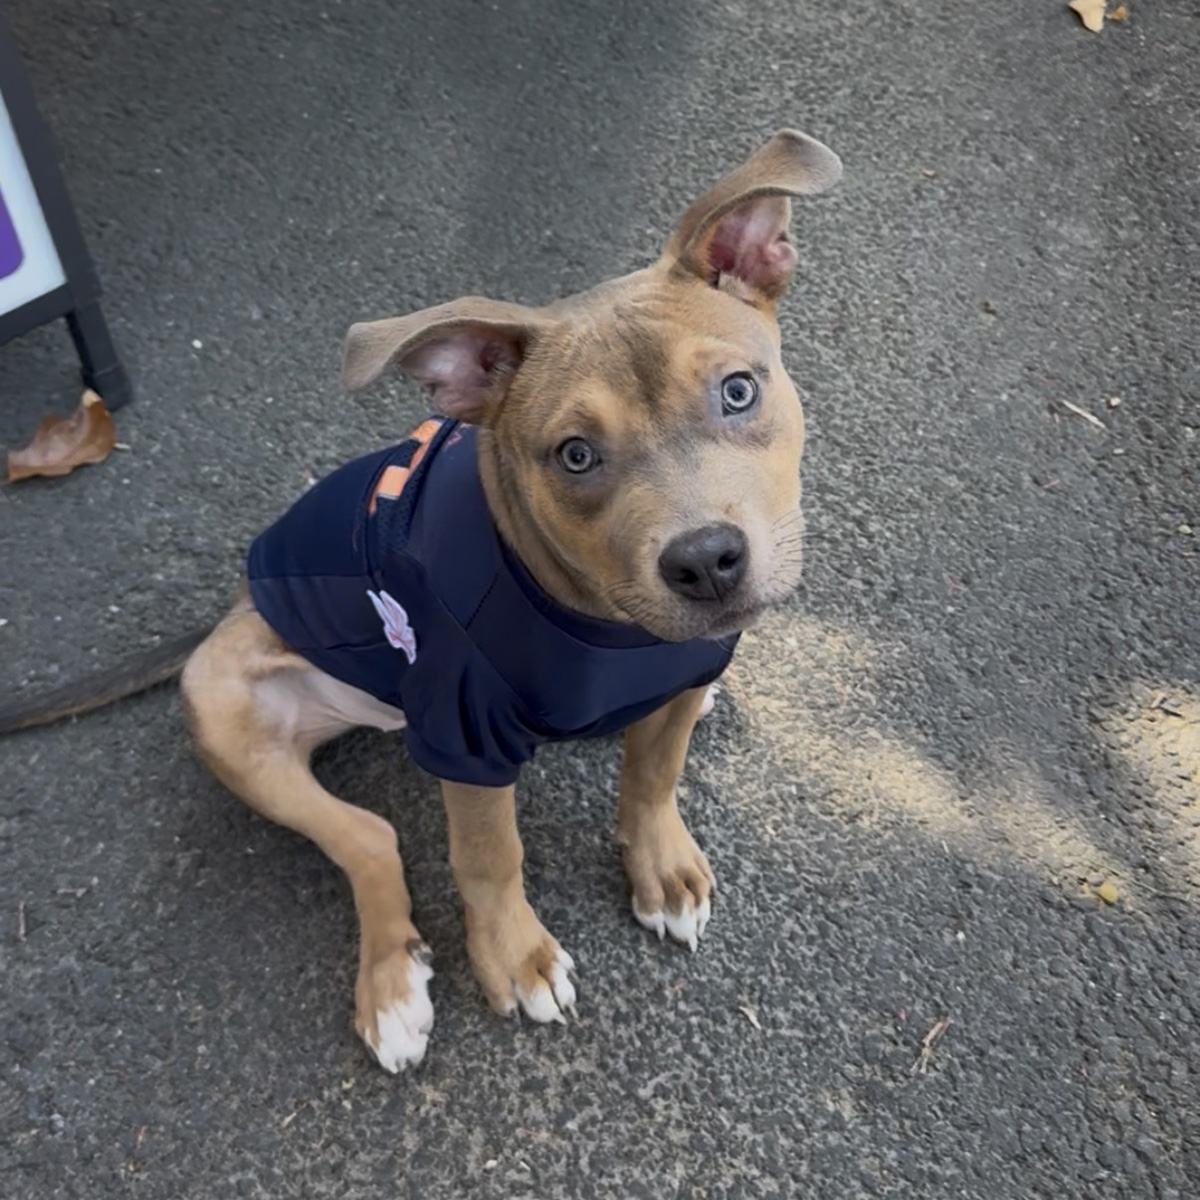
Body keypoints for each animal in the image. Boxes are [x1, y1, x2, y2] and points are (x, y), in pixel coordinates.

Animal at [0, 130, 841, 1072]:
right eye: (575, 454)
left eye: (738, 390)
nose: (705, 563)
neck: (608, 626)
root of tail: (238, 601)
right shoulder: (465, 735)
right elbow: (489, 854)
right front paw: (513, 956)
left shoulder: (686, 670)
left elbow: (655, 773)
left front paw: (659, 866)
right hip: (221, 699)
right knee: (371, 836)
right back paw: (393, 986)